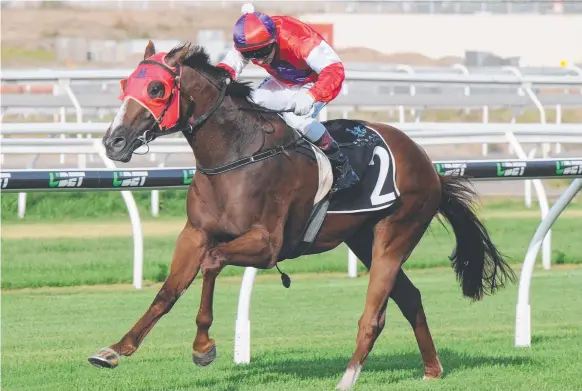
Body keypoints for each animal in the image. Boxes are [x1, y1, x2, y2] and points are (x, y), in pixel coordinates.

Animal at [90, 41, 516, 390]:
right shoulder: (194, 233)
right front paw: (115, 349)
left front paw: (203, 346)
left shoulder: (268, 245)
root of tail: (429, 165)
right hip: (362, 238)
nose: (113, 142)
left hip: (395, 236)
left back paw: (348, 378)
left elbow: (212, 263)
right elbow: (167, 291)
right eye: (126, 84)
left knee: (373, 315)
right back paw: (432, 370)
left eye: (156, 89)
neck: (236, 154)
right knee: (409, 298)